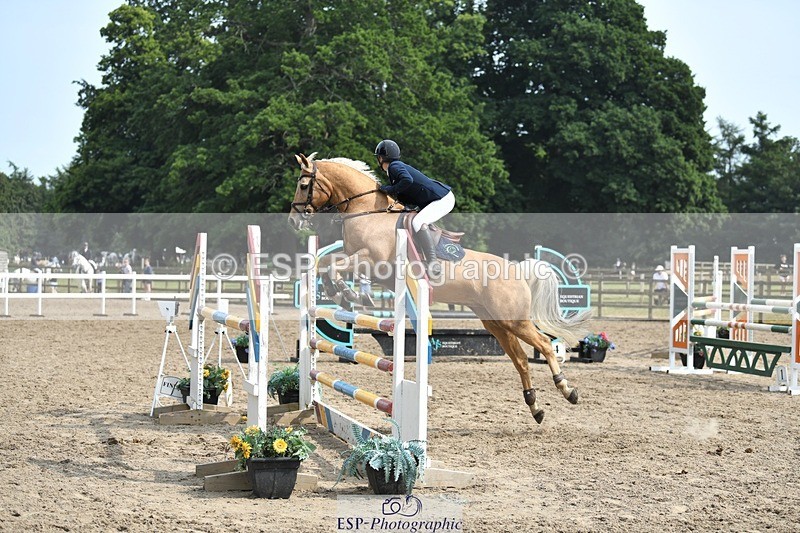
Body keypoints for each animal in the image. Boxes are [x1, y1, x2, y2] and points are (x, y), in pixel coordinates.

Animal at [287, 153, 589, 424]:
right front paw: (339, 292)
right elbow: (326, 263)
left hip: (514, 320)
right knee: (522, 360)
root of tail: (516, 270)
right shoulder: (357, 259)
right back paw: (535, 407)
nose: (293, 220)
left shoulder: (371, 261)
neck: (366, 210)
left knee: (546, 346)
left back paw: (568, 390)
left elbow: (334, 267)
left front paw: (345, 291)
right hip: (496, 323)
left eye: (303, 185)